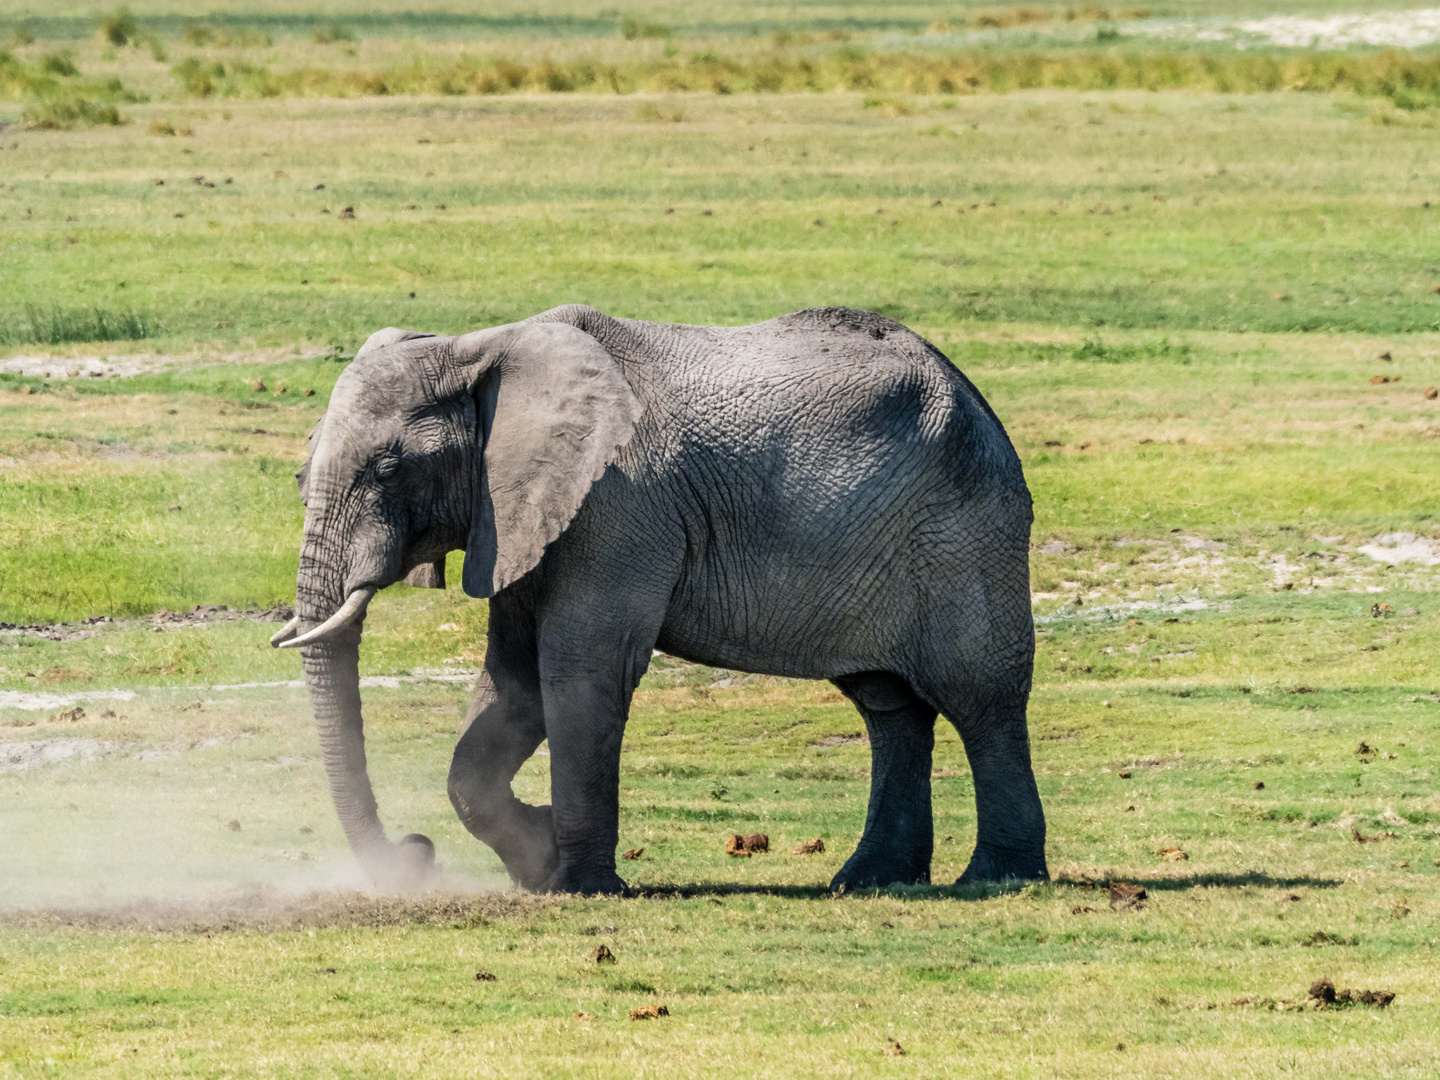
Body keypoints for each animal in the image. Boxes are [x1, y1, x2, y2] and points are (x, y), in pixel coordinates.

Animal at [272, 302, 1048, 898]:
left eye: (388, 467)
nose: (416, 852)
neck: (483, 345)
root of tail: (975, 396)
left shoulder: (618, 506)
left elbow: (579, 671)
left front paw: (580, 887)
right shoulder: (522, 514)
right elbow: (511, 682)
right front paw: (540, 862)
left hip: (965, 532)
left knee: (983, 701)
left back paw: (996, 878)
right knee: (890, 706)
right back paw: (872, 881)